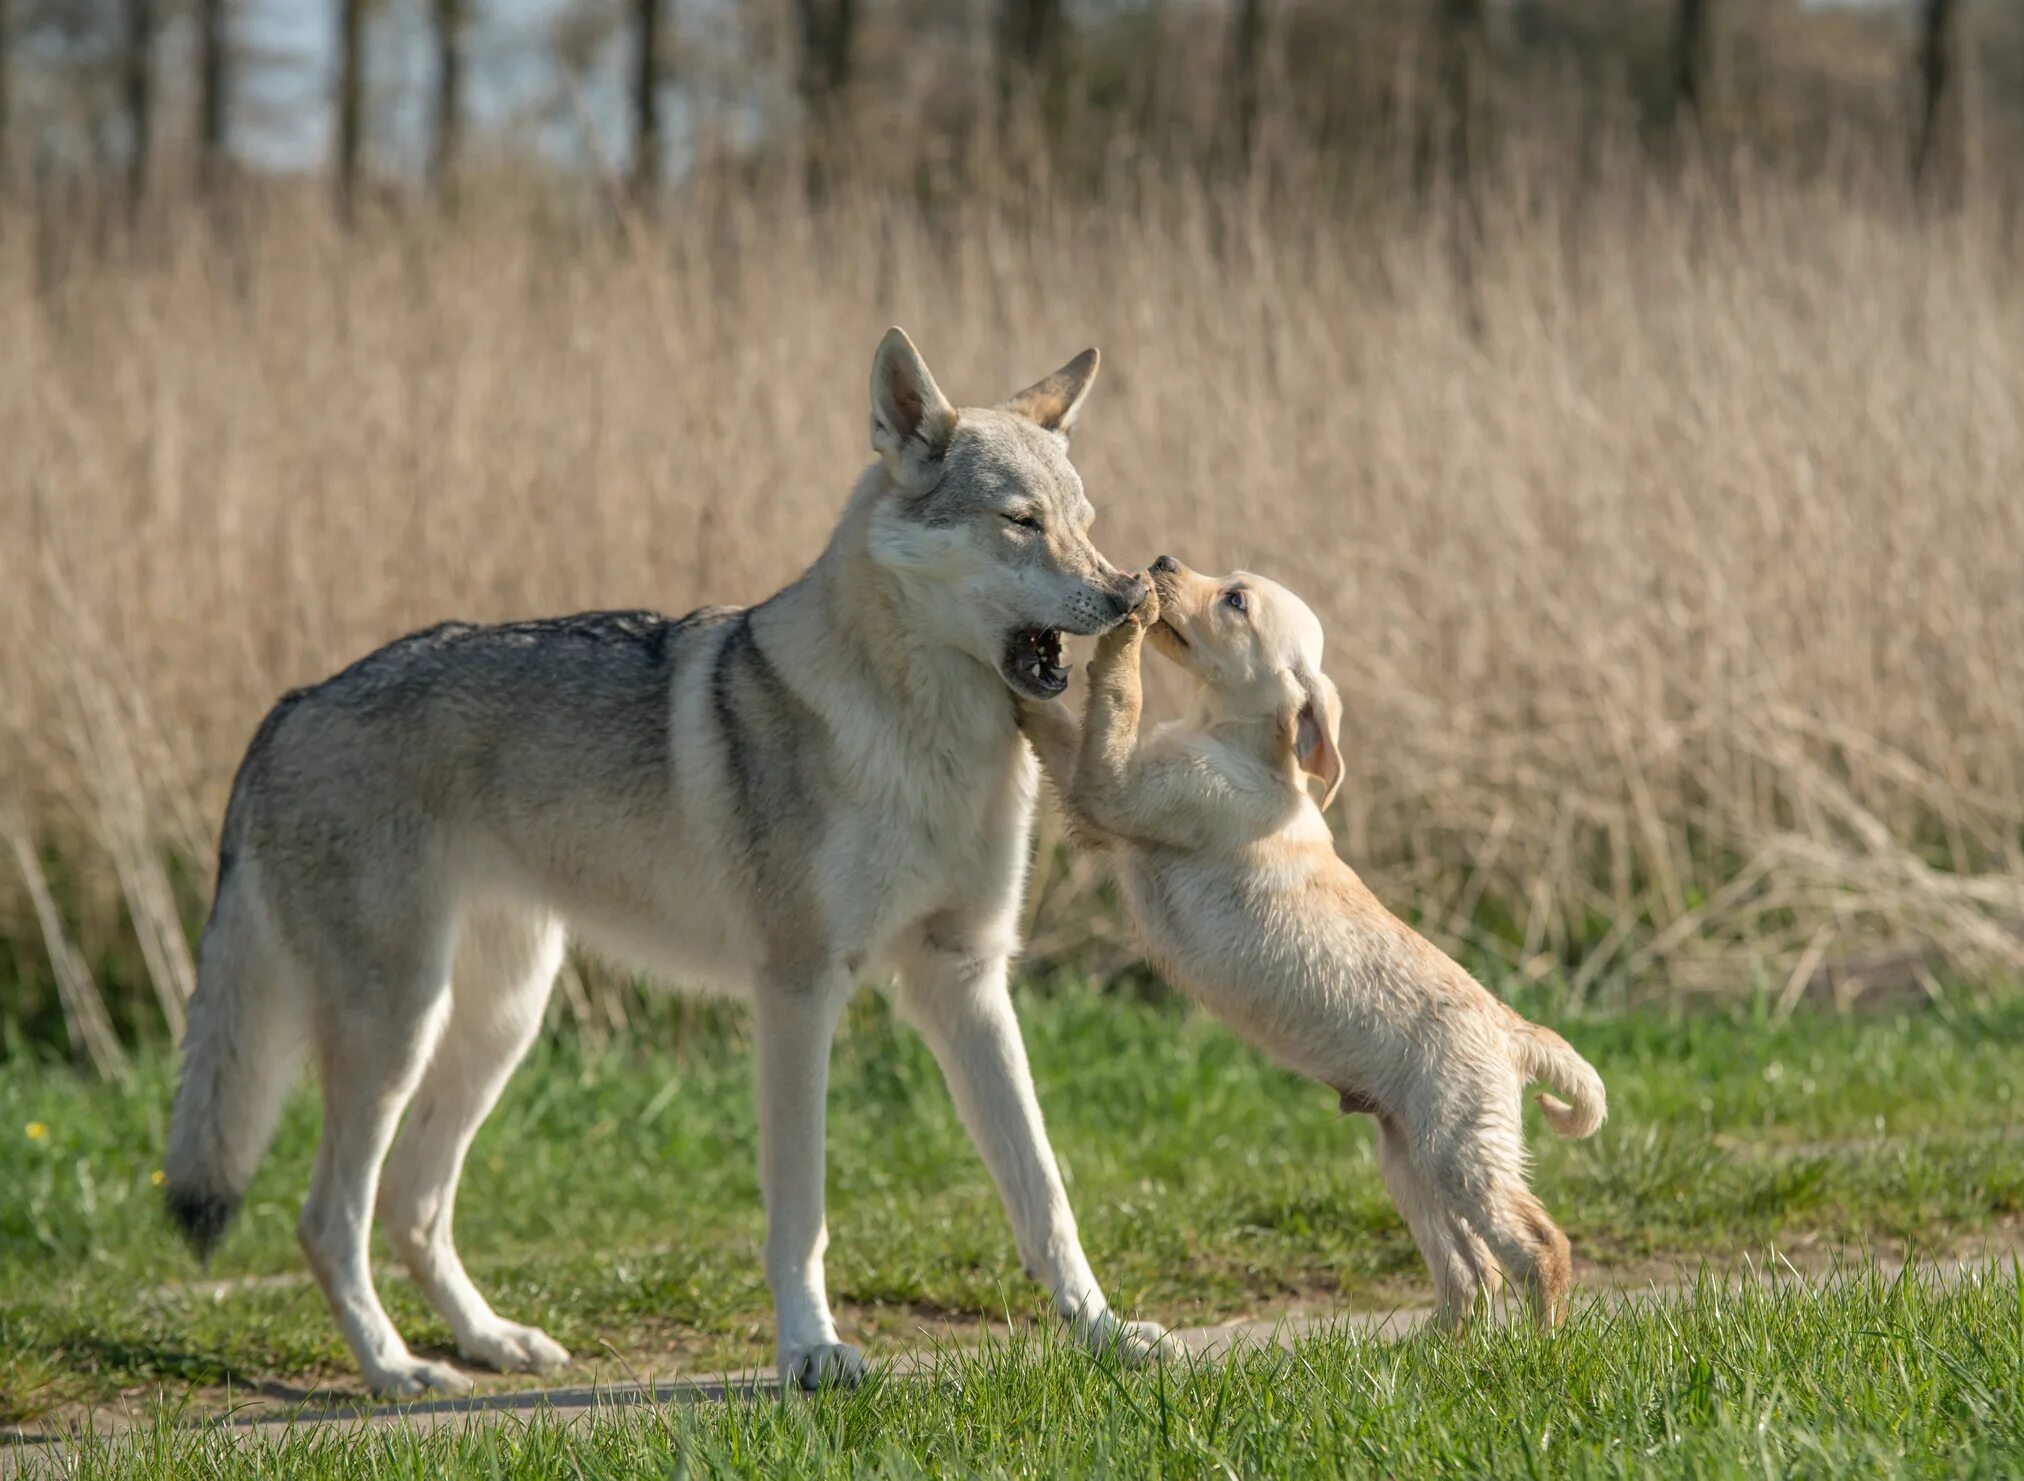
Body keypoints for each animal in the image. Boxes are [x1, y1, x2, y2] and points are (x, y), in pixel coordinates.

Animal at [1028, 558, 1611, 1327]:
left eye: (1235, 601)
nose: (1161, 563)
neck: (1238, 741)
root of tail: (1511, 1029)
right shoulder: (1105, 806)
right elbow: (1059, 728)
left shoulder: (1119, 788)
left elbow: (1106, 702)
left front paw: (1121, 624)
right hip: (1408, 1156)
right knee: (1471, 1271)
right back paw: (1436, 1345)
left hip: (1458, 1148)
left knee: (1538, 1245)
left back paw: (1543, 1340)